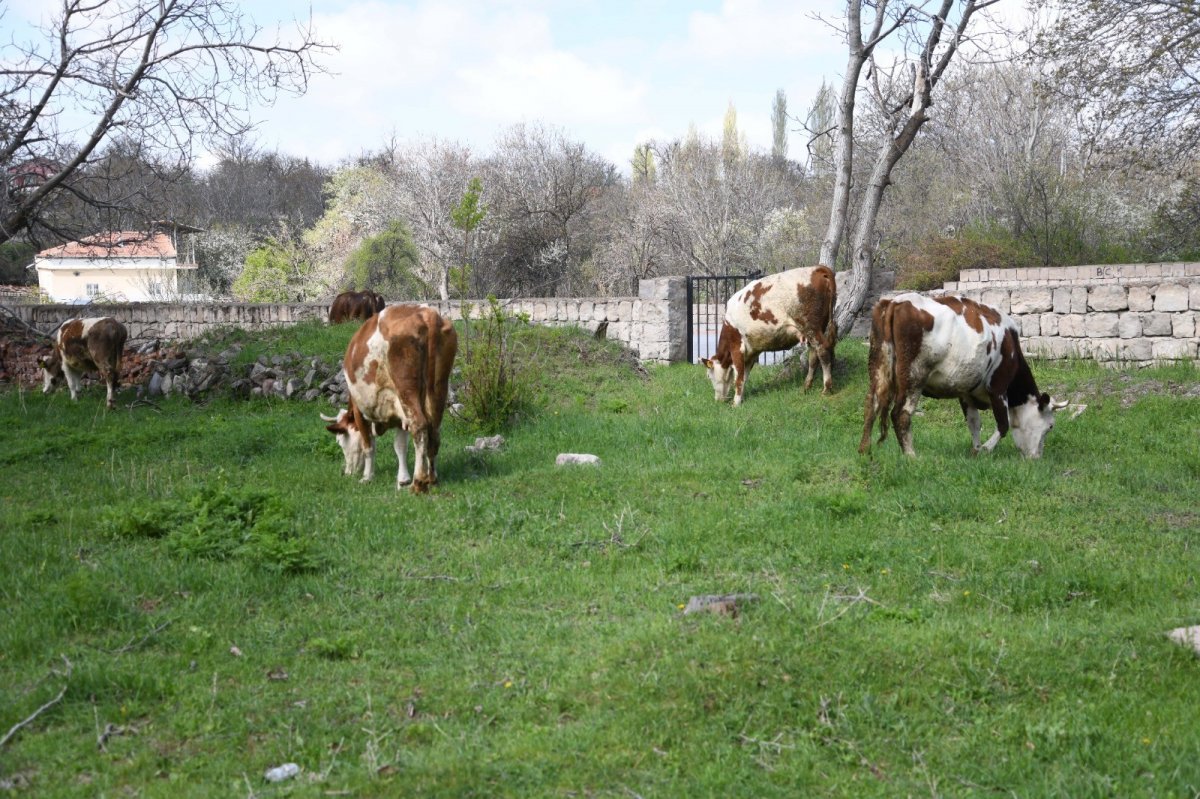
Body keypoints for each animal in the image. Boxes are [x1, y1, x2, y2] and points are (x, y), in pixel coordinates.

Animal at [321, 303, 456, 491]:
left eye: (340, 441)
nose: (347, 472)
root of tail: (426, 314)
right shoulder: (399, 411)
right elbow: (400, 446)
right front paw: (402, 479)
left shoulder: (360, 411)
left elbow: (368, 445)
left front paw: (367, 477)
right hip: (438, 388)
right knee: (433, 430)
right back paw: (432, 479)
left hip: (407, 390)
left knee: (420, 426)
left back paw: (418, 482)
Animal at [700, 263, 840, 405]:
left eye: (708, 375)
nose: (717, 400)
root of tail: (817, 268)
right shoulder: (751, 352)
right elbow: (744, 376)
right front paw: (741, 398)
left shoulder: (737, 347)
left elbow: (738, 378)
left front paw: (736, 403)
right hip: (817, 328)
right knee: (813, 356)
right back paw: (806, 386)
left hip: (811, 326)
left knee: (822, 350)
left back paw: (826, 388)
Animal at [859, 292, 1075, 458]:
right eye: (1050, 426)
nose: (1036, 457)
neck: (1010, 343)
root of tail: (895, 301)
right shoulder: (998, 387)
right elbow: (1003, 425)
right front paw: (986, 449)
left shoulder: (966, 393)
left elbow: (974, 423)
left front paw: (976, 450)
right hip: (913, 376)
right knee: (901, 414)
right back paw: (911, 456)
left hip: (878, 368)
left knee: (872, 405)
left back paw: (864, 450)